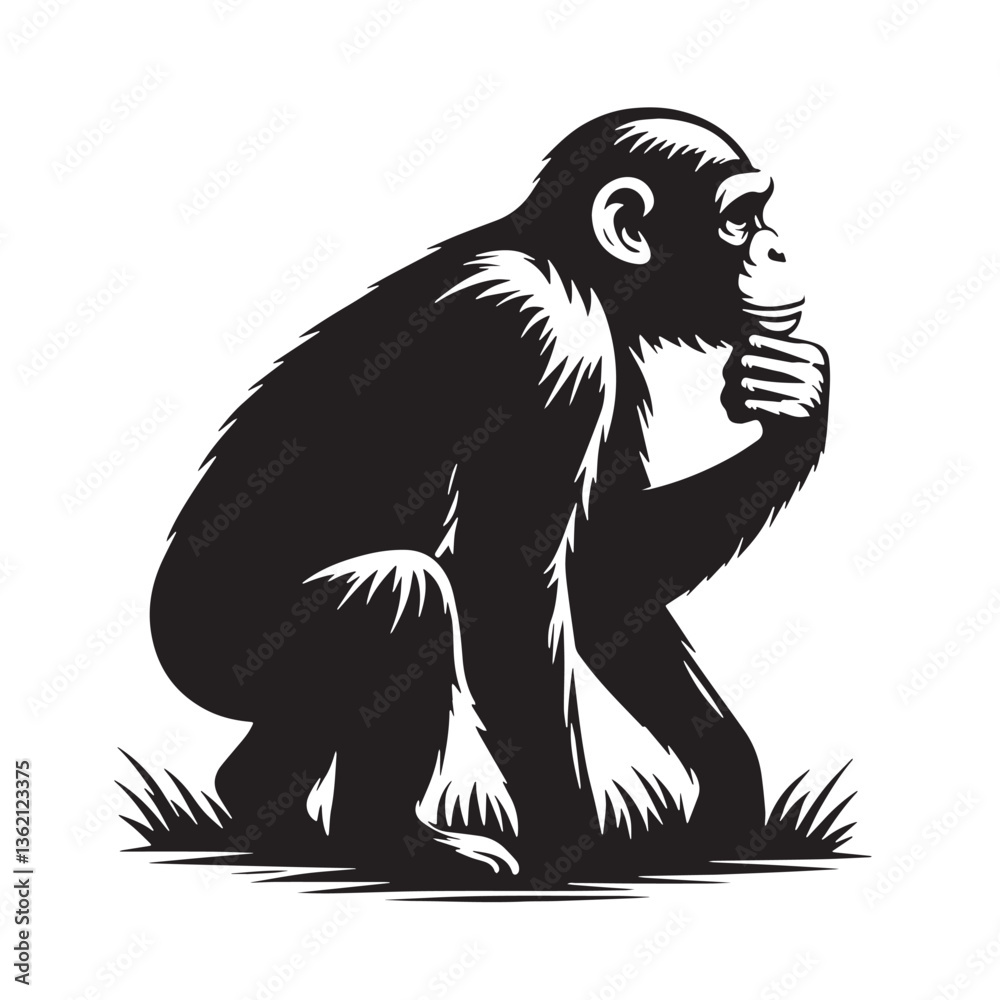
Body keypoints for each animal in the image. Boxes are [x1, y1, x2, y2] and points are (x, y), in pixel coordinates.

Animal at [149, 108, 829, 882]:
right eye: (740, 220)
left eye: (760, 215)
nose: (778, 248)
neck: (578, 269)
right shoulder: (548, 346)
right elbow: (508, 591)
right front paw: (573, 844)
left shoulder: (614, 370)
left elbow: (602, 569)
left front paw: (726, 799)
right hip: (222, 648)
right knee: (402, 595)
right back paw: (390, 839)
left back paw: (267, 810)